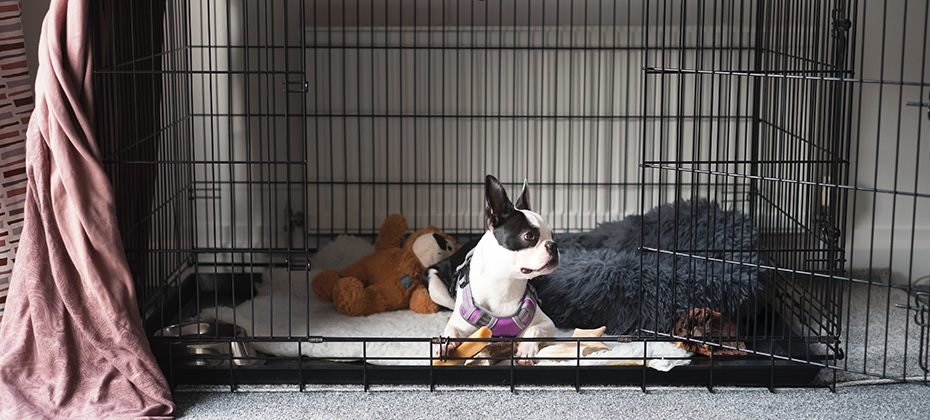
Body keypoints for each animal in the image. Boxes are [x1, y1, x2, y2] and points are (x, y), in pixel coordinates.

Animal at [426, 174, 560, 364]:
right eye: (529, 236)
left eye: (552, 236)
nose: (553, 245)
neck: (506, 284)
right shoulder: (457, 325)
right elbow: (452, 331)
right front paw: (446, 345)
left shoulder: (547, 323)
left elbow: (533, 331)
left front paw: (526, 351)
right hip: (435, 286)